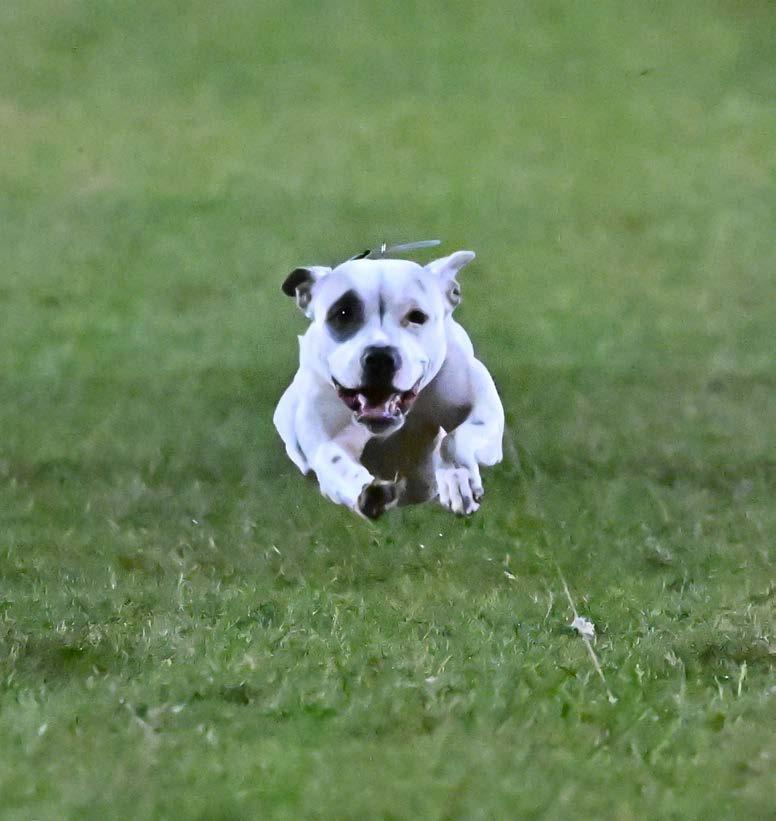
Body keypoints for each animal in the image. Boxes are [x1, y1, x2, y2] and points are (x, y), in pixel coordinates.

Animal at [273, 247, 504, 519]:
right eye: (342, 314)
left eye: (417, 316)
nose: (380, 357)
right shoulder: (328, 436)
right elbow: (332, 457)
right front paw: (369, 493)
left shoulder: (483, 411)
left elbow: (454, 440)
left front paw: (458, 478)